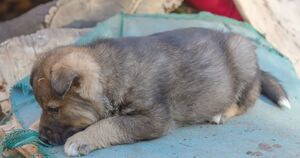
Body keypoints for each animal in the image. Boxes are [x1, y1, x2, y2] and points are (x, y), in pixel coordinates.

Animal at [29, 27, 290, 156]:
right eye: (43, 107)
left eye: (54, 109)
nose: (42, 139)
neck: (109, 74)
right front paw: (32, 124)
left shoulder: (154, 118)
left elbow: (110, 124)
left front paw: (80, 139)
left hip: (242, 56)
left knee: (247, 98)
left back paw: (221, 112)